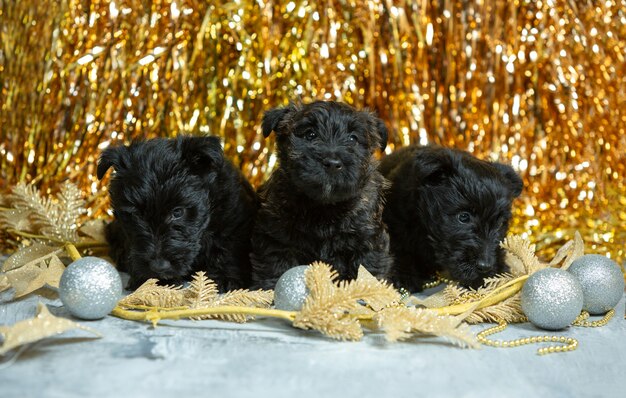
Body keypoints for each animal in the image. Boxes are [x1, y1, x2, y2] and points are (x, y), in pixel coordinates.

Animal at [97, 135, 256, 290]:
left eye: (178, 212)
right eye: (136, 215)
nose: (158, 267)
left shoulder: (233, 220)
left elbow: (228, 247)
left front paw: (225, 277)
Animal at [249, 99, 390, 286]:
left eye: (353, 138)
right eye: (310, 134)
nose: (332, 163)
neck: (324, 206)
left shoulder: (368, 241)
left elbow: (367, 270)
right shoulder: (275, 240)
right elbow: (276, 269)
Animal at [380, 146, 520, 292]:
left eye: (499, 224)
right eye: (463, 217)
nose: (485, 266)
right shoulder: (395, 221)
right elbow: (399, 248)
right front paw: (404, 276)